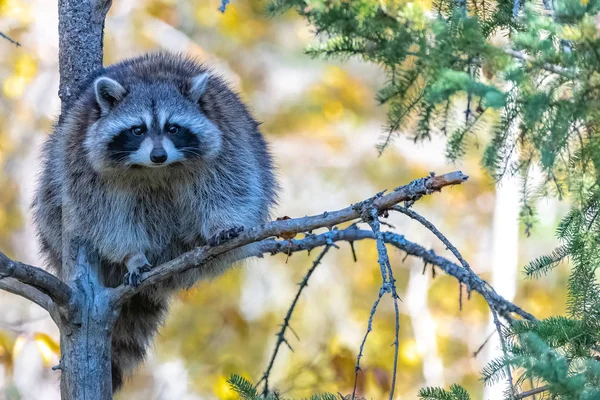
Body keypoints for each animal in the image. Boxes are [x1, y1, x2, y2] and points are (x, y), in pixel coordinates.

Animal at [31, 51, 278, 392]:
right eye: (138, 129)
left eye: (173, 128)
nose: (158, 155)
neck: (157, 170)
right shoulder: (82, 164)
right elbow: (107, 217)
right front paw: (132, 255)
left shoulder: (230, 143)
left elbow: (232, 188)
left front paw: (220, 224)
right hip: (52, 205)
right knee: (58, 200)